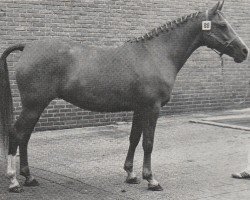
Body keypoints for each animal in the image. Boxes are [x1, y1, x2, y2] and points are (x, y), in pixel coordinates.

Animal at [0, 0, 248, 193]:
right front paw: (151, 179)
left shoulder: (139, 108)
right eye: (222, 25)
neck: (156, 54)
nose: (244, 51)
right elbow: (148, 142)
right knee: (17, 134)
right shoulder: (152, 108)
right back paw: (14, 181)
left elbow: (134, 139)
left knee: (25, 137)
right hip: (34, 105)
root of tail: (28, 47)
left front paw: (131, 175)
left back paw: (29, 177)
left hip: (36, 106)